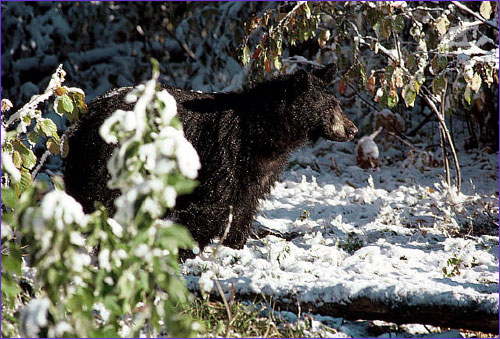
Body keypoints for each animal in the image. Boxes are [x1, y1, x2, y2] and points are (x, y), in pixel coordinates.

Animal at [64, 64, 358, 252]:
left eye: (338, 104)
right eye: (329, 108)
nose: (352, 130)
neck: (263, 133)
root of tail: (83, 118)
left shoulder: (258, 169)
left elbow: (245, 204)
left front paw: (235, 245)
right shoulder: (225, 153)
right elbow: (212, 205)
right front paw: (189, 248)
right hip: (109, 158)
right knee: (99, 199)